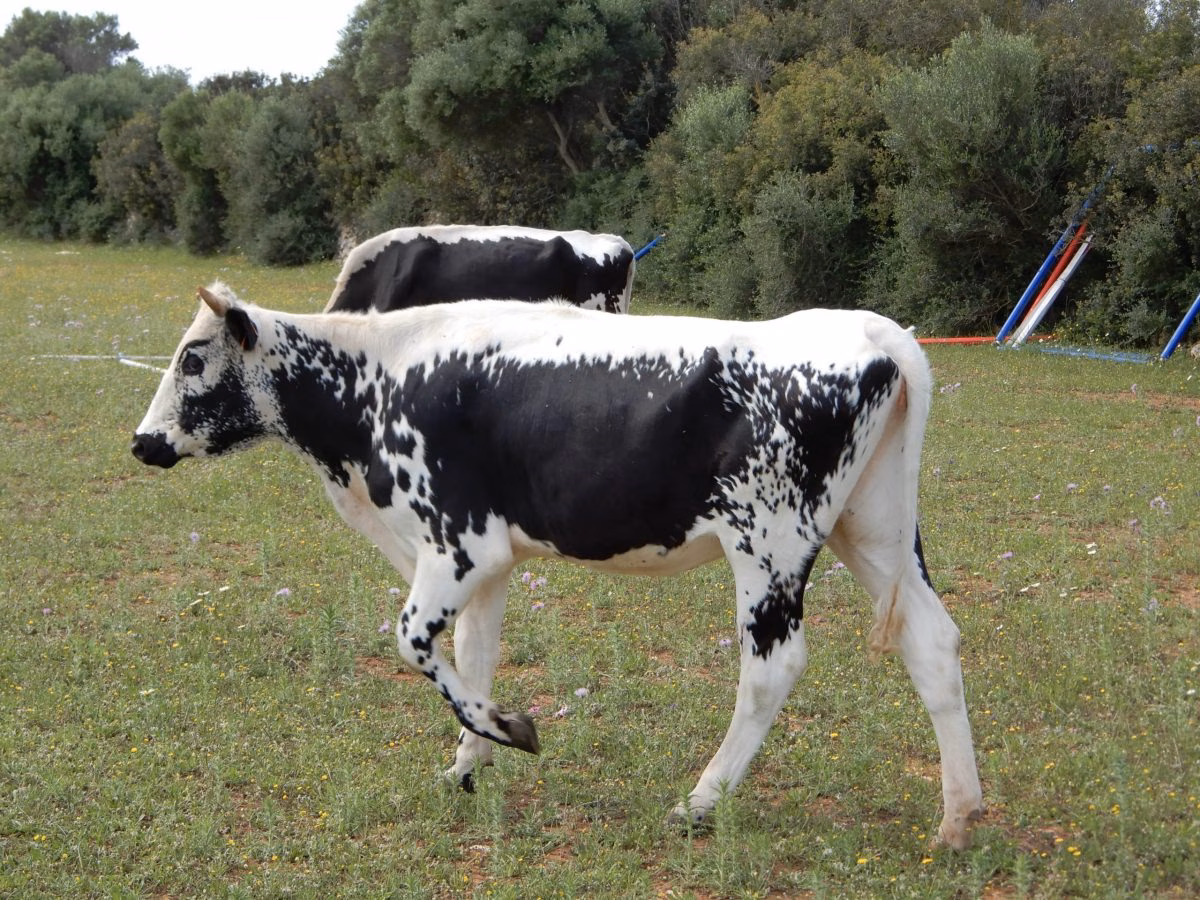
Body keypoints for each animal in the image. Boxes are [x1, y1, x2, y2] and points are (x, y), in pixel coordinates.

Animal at [131, 282, 984, 848]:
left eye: (193, 357)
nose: (142, 442)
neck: (375, 380)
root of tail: (874, 332)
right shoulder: (489, 558)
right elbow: (473, 653)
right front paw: (465, 766)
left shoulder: (457, 544)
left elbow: (412, 643)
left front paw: (509, 729)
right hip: (872, 530)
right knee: (932, 642)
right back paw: (959, 817)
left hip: (770, 545)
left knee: (773, 669)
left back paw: (699, 803)